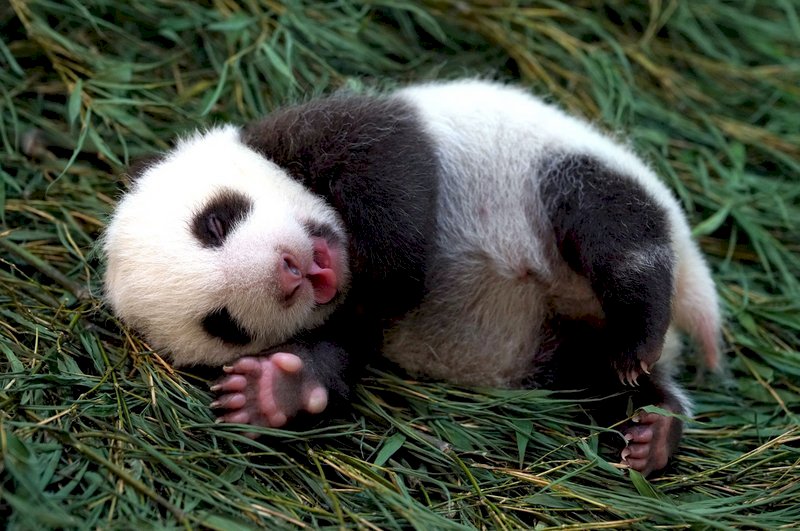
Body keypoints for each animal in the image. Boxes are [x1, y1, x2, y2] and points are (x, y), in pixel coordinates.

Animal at [102, 79, 721, 476]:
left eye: (215, 222)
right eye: (224, 324)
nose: (291, 273)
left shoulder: (323, 133)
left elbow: (391, 163)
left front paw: (392, 268)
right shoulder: (351, 325)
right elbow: (332, 356)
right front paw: (269, 391)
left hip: (551, 170)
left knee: (613, 227)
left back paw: (638, 330)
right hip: (560, 347)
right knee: (597, 375)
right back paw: (652, 429)